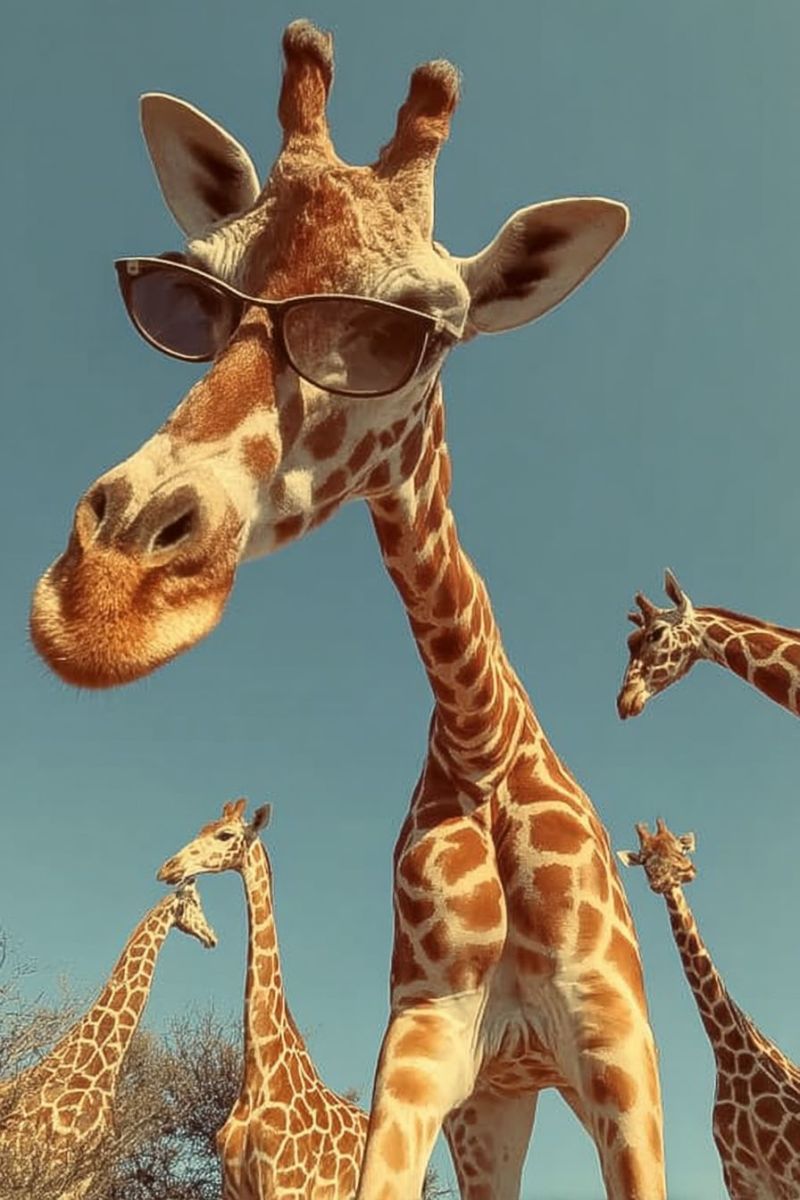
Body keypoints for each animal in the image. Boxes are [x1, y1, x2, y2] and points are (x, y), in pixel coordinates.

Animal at [157, 798, 370, 1200]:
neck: (258, 1075)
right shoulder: (233, 1187)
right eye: (201, 828)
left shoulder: (285, 1185)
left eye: (225, 835)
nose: (169, 867)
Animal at [619, 818, 800, 1200]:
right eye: (645, 858)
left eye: (680, 847)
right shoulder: (743, 1180)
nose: (675, 875)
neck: (730, 1052)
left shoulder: (789, 1166)